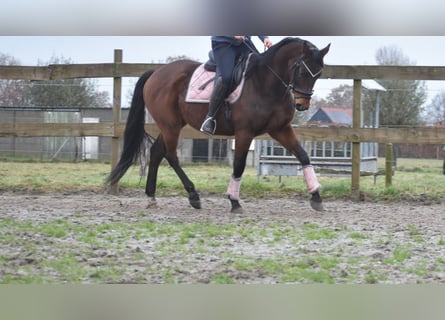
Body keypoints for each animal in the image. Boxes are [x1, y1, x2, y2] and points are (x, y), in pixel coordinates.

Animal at [106, 37, 330, 212]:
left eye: (319, 74)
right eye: (302, 71)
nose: (302, 105)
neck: (265, 82)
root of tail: (156, 72)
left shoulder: (280, 130)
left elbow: (303, 156)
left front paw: (316, 196)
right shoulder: (244, 132)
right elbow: (239, 165)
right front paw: (234, 201)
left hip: (171, 125)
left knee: (156, 152)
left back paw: (152, 197)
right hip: (170, 125)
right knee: (170, 155)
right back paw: (193, 195)